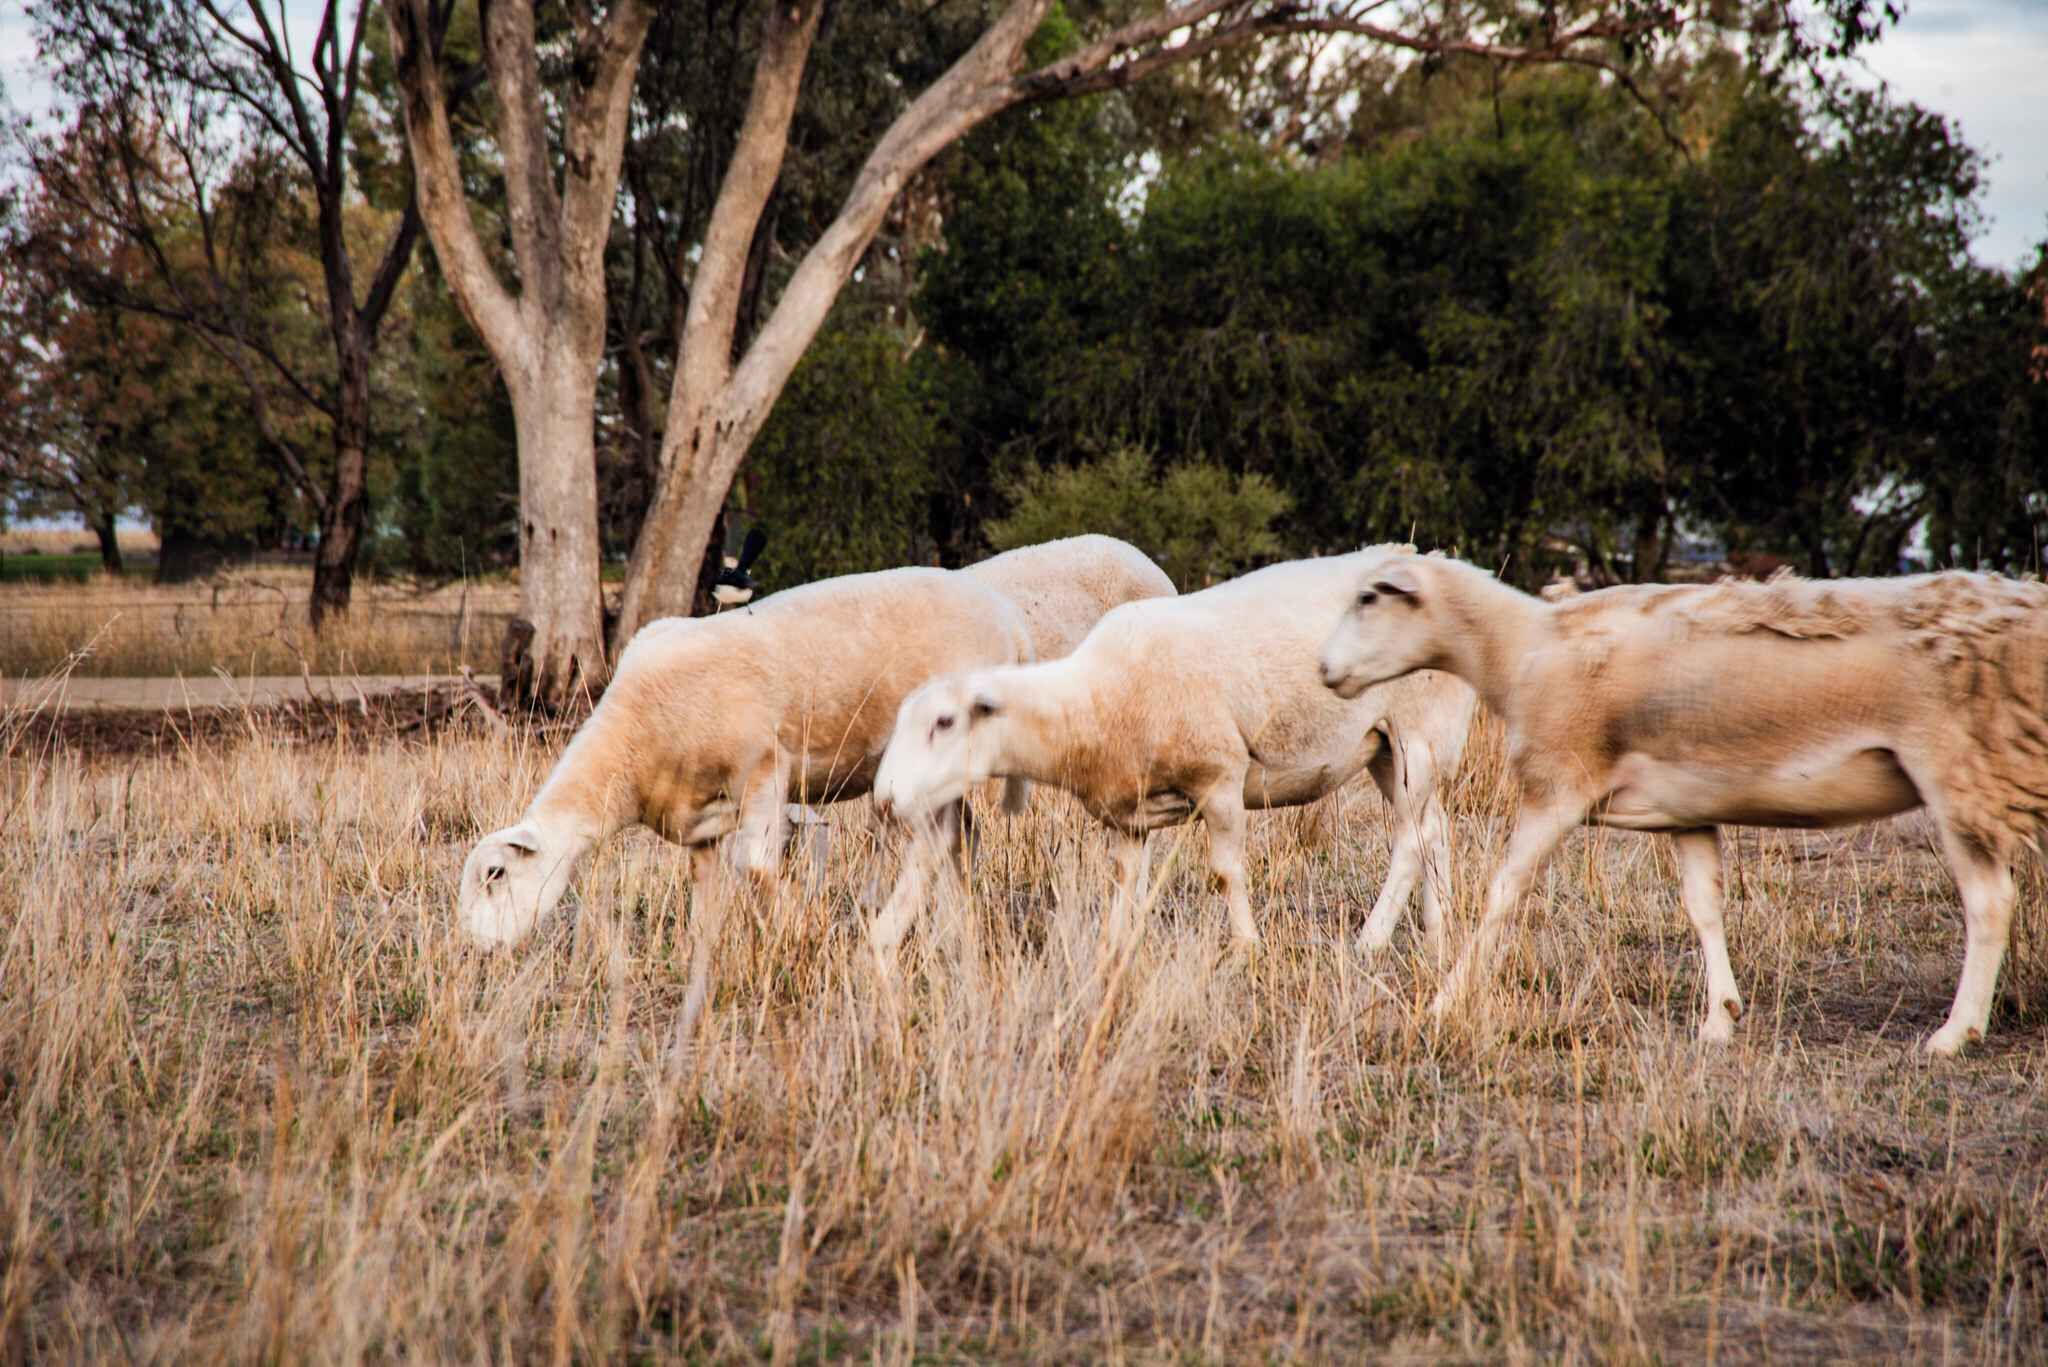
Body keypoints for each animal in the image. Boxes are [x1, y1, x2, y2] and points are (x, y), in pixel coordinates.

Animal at [873, 548, 1478, 948]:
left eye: (944, 722)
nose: (885, 796)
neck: (1093, 699)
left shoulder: (1220, 777)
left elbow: (1226, 872)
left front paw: (1246, 946)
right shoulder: (1128, 815)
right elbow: (1124, 880)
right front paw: (1116, 948)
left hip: (1419, 731)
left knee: (1411, 839)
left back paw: (1370, 940)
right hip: (1387, 746)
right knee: (1435, 829)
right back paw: (1437, 929)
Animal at [1316, 551, 2048, 1054]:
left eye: (1371, 596)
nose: (1324, 671)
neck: (1518, 651)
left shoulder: (1557, 786)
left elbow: (1503, 891)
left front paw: (1444, 1000)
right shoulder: (1687, 808)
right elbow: (1703, 907)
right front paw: (1720, 1017)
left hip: (1956, 771)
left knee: (1989, 902)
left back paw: (1955, 1033)